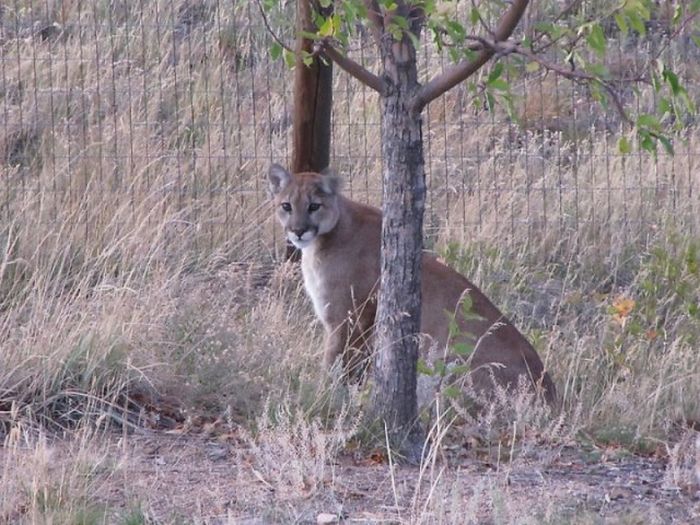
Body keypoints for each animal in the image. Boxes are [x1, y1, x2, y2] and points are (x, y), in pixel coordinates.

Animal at [268, 164, 556, 406]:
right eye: (287, 205)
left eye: (314, 206)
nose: (298, 231)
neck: (323, 240)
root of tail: (551, 393)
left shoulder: (348, 320)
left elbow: (334, 364)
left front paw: (322, 396)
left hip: (451, 363)